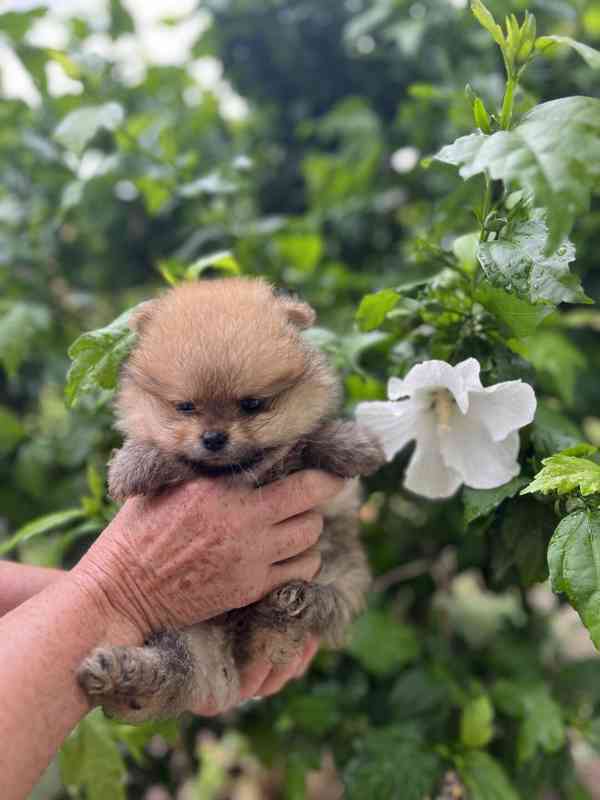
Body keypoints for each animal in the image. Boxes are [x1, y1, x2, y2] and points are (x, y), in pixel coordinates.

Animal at [77, 278, 384, 720]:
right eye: (185, 407)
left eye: (251, 404)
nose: (213, 437)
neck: (238, 475)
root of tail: (233, 657)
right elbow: (164, 455)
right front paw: (133, 465)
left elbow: (309, 441)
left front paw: (354, 445)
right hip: (186, 635)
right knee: (170, 671)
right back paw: (120, 675)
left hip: (341, 571)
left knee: (322, 607)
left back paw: (290, 605)